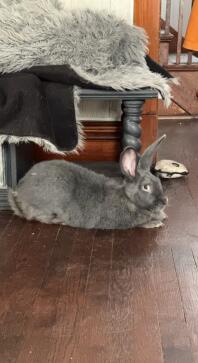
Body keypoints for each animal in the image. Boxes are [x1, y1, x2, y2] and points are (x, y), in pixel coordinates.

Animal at [8, 135, 167, 229]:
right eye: (146, 187)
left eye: (158, 181)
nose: (164, 201)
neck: (128, 198)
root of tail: (19, 191)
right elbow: (142, 223)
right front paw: (156, 222)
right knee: (36, 216)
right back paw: (59, 220)